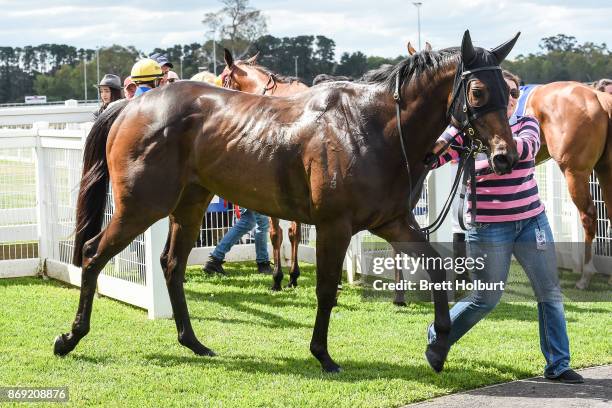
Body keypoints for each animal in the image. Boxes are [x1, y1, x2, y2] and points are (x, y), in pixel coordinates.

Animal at [55, 30, 520, 372]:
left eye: (510, 89)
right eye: (478, 91)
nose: (505, 156)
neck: (372, 126)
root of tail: (133, 106)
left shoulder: (393, 221)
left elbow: (438, 268)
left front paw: (439, 345)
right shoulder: (335, 225)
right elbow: (326, 288)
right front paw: (323, 354)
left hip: (189, 204)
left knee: (171, 264)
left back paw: (193, 342)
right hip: (140, 205)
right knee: (94, 254)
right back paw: (71, 337)